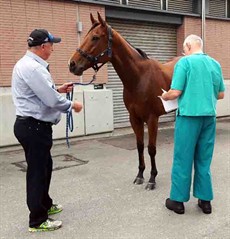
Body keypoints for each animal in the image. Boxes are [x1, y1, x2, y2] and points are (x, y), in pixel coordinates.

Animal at [68, 13, 180, 190]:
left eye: (95, 37)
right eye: (85, 36)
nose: (72, 64)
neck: (139, 78)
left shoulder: (152, 118)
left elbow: (151, 148)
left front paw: (152, 179)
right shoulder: (134, 118)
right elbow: (140, 146)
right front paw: (140, 175)